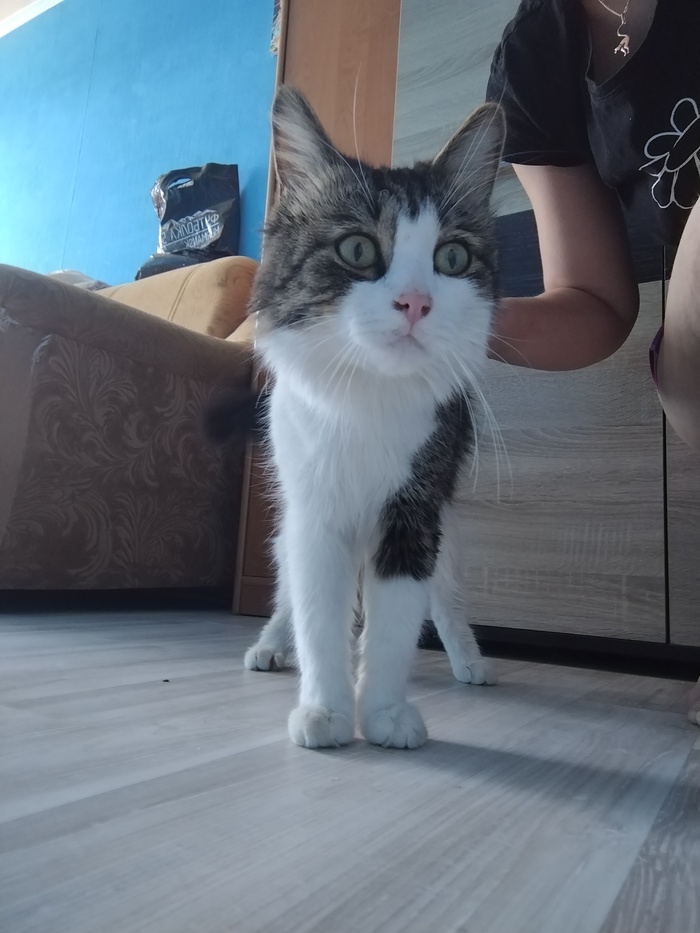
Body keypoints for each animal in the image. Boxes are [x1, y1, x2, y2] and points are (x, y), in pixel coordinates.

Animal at [236, 86, 505, 749]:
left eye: (451, 257)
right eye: (357, 250)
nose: (415, 303)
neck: (369, 398)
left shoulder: (415, 511)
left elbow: (396, 622)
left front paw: (383, 712)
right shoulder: (313, 513)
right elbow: (317, 615)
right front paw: (325, 711)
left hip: (447, 530)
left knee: (445, 598)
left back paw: (469, 661)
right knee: (287, 594)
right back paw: (270, 645)